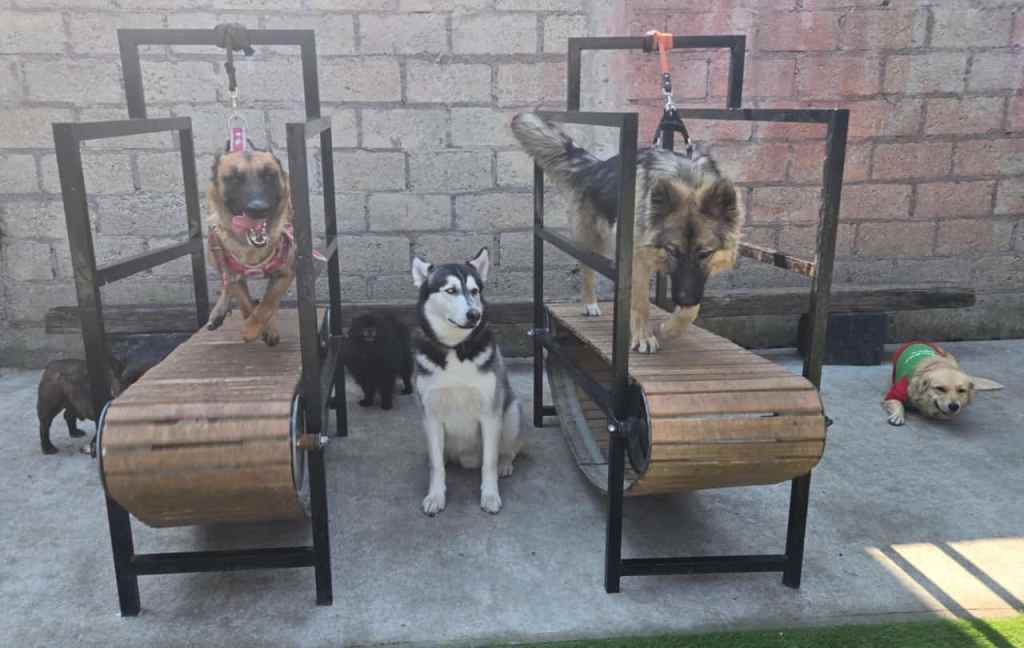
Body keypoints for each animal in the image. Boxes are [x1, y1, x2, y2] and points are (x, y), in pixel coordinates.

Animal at [206, 142, 294, 346]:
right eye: (234, 178)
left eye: (269, 175)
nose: (258, 208)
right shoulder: (233, 274)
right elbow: (246, 302)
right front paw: (252, 327)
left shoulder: (286, 273)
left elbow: (268, 303)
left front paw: (257, 328)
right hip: (213, 252)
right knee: (225, 282)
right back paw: (219, 311)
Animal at [411, 248, 524, 515]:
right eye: (451, 290)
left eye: (474, 291)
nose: (475, 314)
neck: (455, 348)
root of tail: (467, 459)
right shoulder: (430, 415)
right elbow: (437, 466)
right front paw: (436, 495)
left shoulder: (491, 414)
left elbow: (489, 462)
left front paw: (490, 495)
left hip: (512, 411)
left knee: (510, 449)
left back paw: (505, 464)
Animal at [511, 112, 742, 353]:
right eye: (672, 250)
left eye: (705, 253)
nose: (684, 298)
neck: (687, 180)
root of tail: (595, 167)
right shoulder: (638, 258)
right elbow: (640, 302)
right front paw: (644, 336)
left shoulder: (691, 278)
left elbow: (691, 310)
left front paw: (671, 328)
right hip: (591, 243)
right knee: (587, 272)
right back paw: (590, 303)